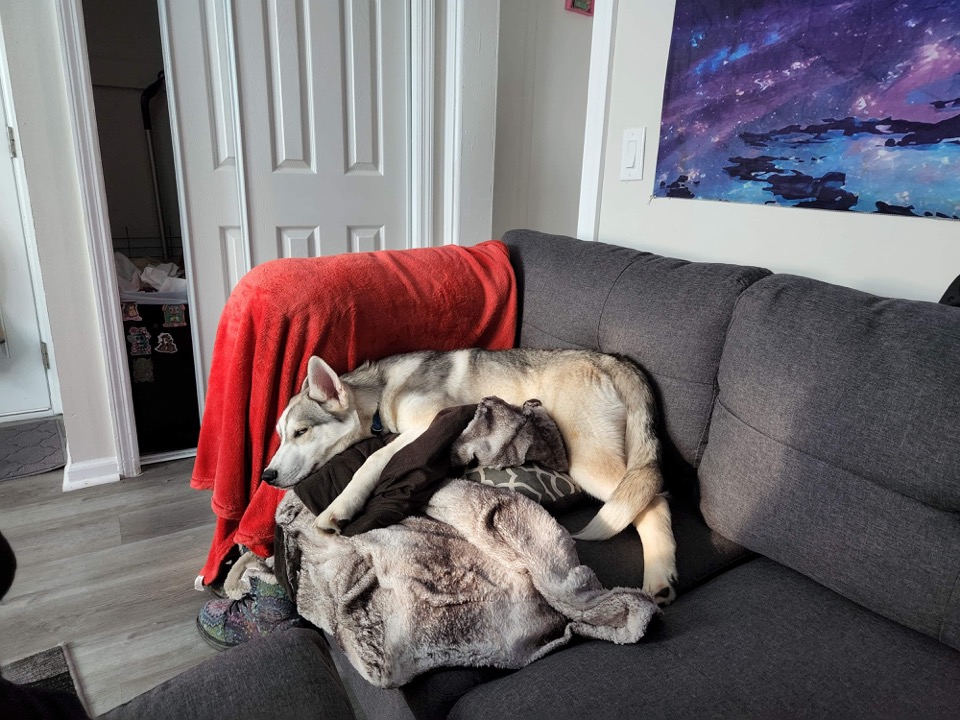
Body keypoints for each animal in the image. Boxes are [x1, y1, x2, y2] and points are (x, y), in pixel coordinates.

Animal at [261, 348, 678, 603]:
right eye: (280, 436)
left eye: (301, 432)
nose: (266, 474)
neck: (381, 395)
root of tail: (612, 359)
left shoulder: (426, 424)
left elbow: (373, 460)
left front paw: (339, 506)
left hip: (590, 463)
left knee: (655, 497)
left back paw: (660, 576)